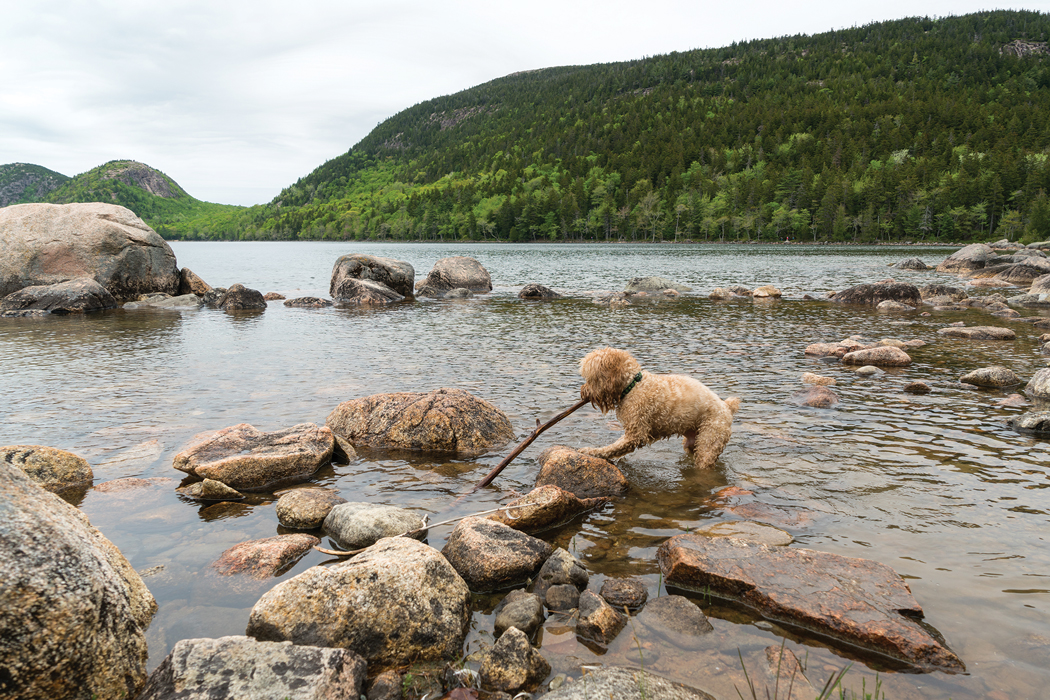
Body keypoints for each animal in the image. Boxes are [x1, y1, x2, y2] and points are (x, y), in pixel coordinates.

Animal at [579, 346, 743, 468]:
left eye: (591, 378)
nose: (583, 391)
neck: (633, 385)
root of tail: (727, 407)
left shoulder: (636, 434)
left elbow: (612, 448)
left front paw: (591, 451)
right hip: (691, 443)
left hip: (709, 440)